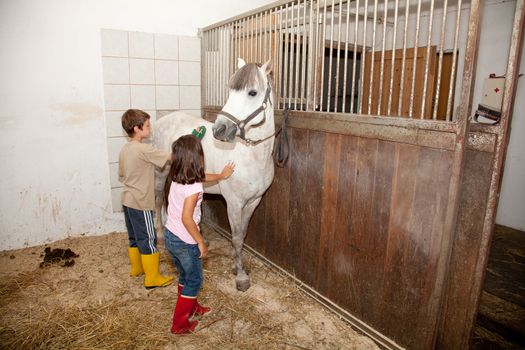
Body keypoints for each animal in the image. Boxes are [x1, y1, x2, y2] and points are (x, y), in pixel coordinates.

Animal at [151, 58, 274, 292]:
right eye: (230, 90)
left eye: (252, 92)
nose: (220, 129)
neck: (251, 157)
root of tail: (164, 119)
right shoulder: (234, 203)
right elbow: (236, 238)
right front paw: (241, 276)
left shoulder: (254, 201)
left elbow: (242, 234)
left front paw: (236, 265)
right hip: (160, 172)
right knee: (157, 199)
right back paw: (160, 235)